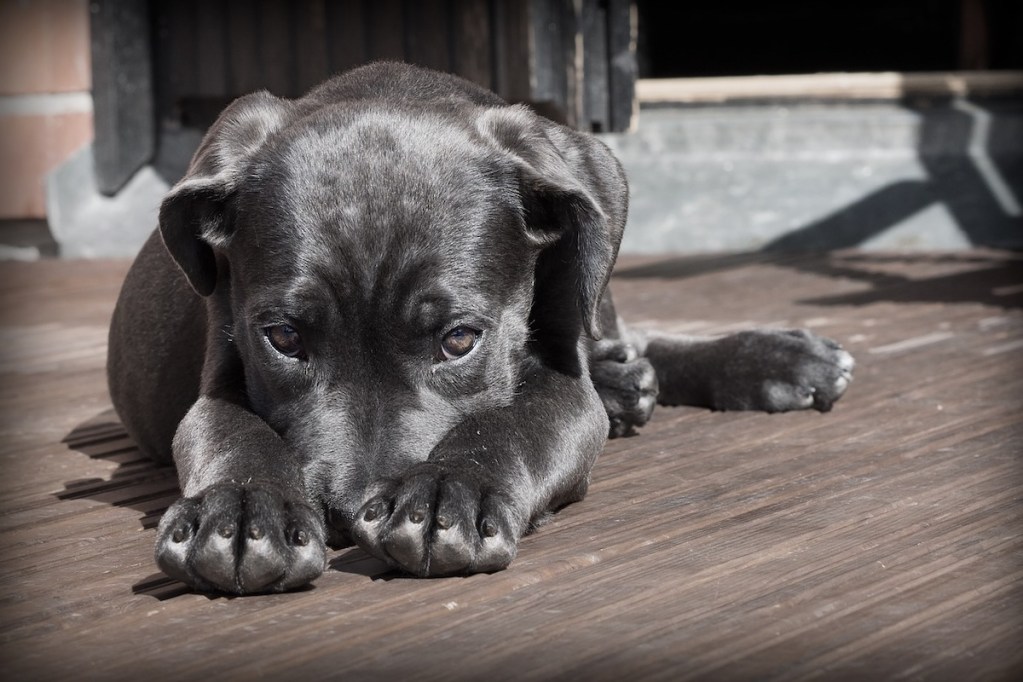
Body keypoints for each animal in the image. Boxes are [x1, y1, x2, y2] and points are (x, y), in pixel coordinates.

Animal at [105, 65, 855, 597]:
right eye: (284, 339)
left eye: (459, 340)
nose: (347, 515)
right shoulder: (221, 371)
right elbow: (231, 431)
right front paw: (239, 511)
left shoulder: (561, 384)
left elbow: (512, 423)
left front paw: (448, 491)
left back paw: (769, 359)